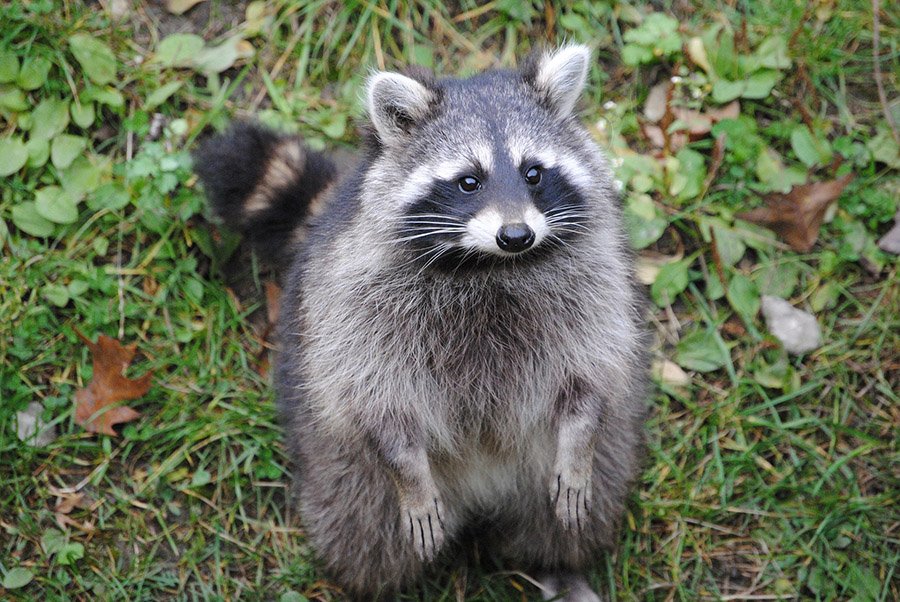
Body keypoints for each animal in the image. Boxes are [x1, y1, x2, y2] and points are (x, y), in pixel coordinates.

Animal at [195, 44, 649, 601]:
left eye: (534, 173)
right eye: (469, 181)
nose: (516, 235)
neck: (487, 265)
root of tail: (482, 494)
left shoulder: (594, 280)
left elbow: (592, 371)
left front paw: (578, 440)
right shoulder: (354, 302)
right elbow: (375, 395)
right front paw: (406, 468)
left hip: (590, 460)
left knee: (572, 511)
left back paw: (558, 562)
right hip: (343, 466)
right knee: (362, 533)